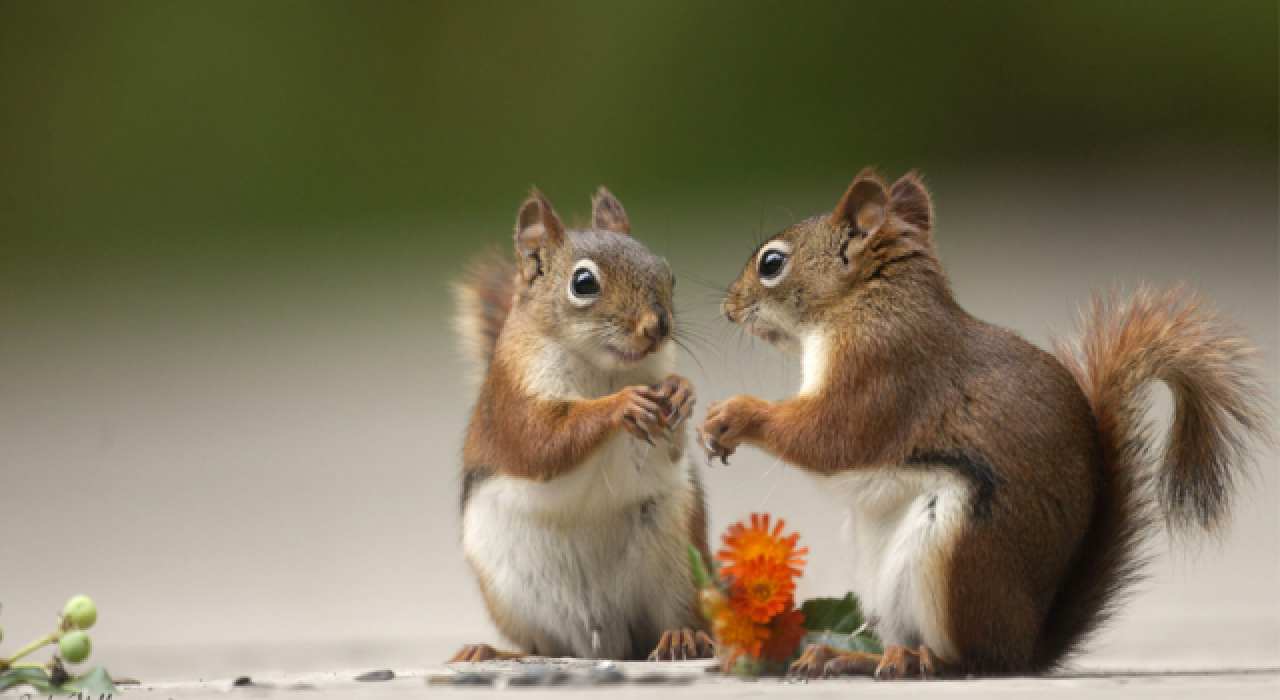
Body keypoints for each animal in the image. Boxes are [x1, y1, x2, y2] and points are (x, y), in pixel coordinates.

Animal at [448, 184, 711, 665]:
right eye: (583, 283)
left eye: (669, 275)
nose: (658, 326)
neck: (604, 369)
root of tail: (607, 641)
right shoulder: (512, 403)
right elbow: (544, 443)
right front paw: (623, 404)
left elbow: (670, 447)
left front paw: (681, 389)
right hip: (513, 593)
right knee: (542, 646)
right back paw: (494, 652)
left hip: (679, 561)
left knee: (678, 618)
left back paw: (682, 638)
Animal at [701, 168, 1269, 680]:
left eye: (772, 262)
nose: (727, 309)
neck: (868, 303)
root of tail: (1028, 646)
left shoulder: (882, 374)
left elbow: (828, 437)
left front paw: (735, 414)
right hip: (881, 576)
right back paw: (845, 655)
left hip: (956, 555)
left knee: (973, 660)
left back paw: (920, 661)